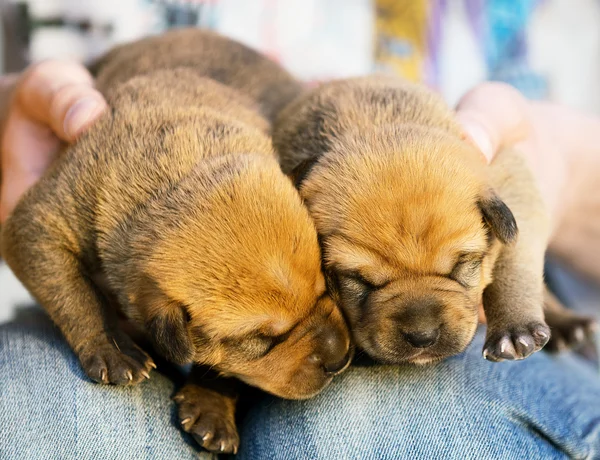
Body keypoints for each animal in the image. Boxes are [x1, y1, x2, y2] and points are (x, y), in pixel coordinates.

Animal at [1, 30, 352, 454]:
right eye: (261, 338)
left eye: (325, 284)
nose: (340, 358)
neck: (179, 172)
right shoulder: (44, 218)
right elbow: (74, 292)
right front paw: (111, 346)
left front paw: (212, 404)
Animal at [276, 75, 596, 366]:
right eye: (358, 280)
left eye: (461, 265)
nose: (422, 337)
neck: (378, 125)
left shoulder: (512, 185)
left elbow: (513, 262)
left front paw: (515, 328)